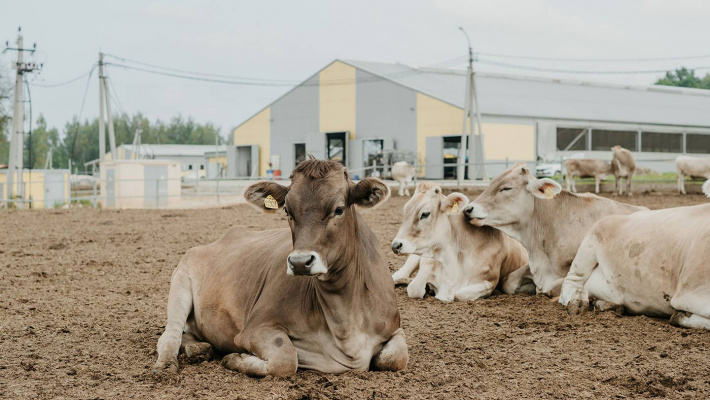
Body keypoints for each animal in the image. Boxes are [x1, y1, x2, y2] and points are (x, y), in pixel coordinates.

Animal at [153, 158, 408, 376]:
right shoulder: (255, 328)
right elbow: (285, 359)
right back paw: (167, 364)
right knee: (170, 334)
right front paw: (235, 359)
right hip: (180, 283)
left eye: (339, 209)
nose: (300, 262)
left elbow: (396, 358)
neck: (345, 324)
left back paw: (199, 349)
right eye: (287, 210)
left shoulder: (394, 327)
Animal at [390, 183, 536, 302]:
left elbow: (460, 294)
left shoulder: (490, 282)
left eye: (425, 213)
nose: (396, 245)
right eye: (405, 210)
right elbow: (414, 288)